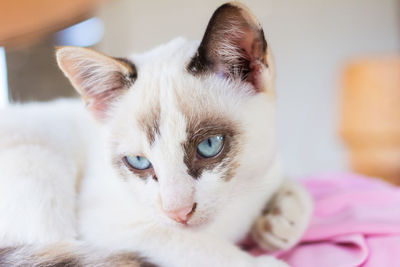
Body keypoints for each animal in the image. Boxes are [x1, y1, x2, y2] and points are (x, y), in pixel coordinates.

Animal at [0, 2, 312, 267]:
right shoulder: (109, 226)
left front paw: (280, 221)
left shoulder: (269, 165)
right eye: (138, 162)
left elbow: (297, 192)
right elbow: (192, 246)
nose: (178, 212)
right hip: (39, 163)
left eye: (209, 145)